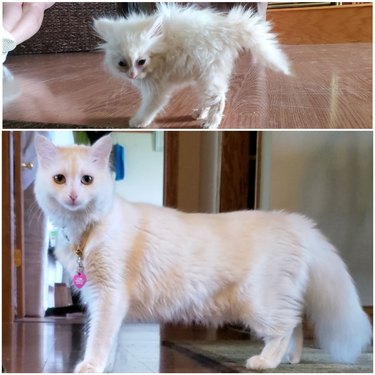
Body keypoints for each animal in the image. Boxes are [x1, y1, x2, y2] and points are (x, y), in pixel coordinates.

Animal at [35, 135, 374, 374]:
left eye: (87, 179)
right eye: (59, 179)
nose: (73, 196)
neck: (85, 232)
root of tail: (295, 222)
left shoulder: (108, 294)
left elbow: (99, 337)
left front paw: (91, 366)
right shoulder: (102, 298)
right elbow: (110, 338)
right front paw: (107, 365)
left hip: (260, 301)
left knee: (285, 327)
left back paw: (265, 361)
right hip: (277, 297)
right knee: (297, 324)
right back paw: (291, 359)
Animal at [93, 2, 290, 130]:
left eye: (141, 61)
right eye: (122, 63)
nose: (132, 75)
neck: (161, 46)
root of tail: (227, 28)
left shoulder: (157, 90)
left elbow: (149, 107)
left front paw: (139, 121)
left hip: (208, 73)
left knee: (218, 99)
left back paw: (211, 123)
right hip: (203, 75)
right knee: (210, 98)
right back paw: (201, 113)